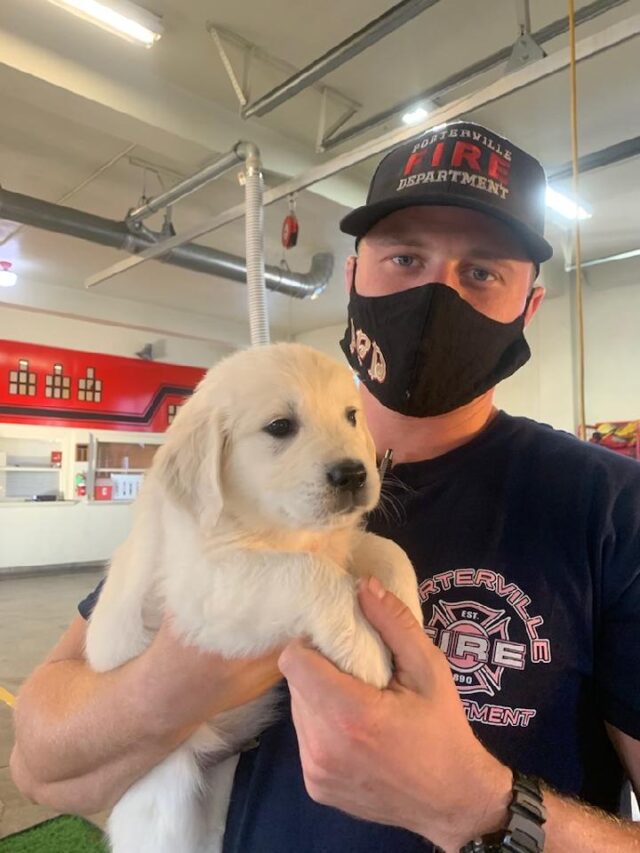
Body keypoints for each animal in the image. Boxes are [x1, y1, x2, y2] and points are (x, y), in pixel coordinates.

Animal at [86, 342, 424, 852]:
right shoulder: (205, 588)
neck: (276, 529)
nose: (353, 474)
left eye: (351, 416)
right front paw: (367, 650)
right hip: (165, 793)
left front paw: (409, 611)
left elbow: (387, 549)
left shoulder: (338, 541)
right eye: (280, 427)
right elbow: (309, 573)